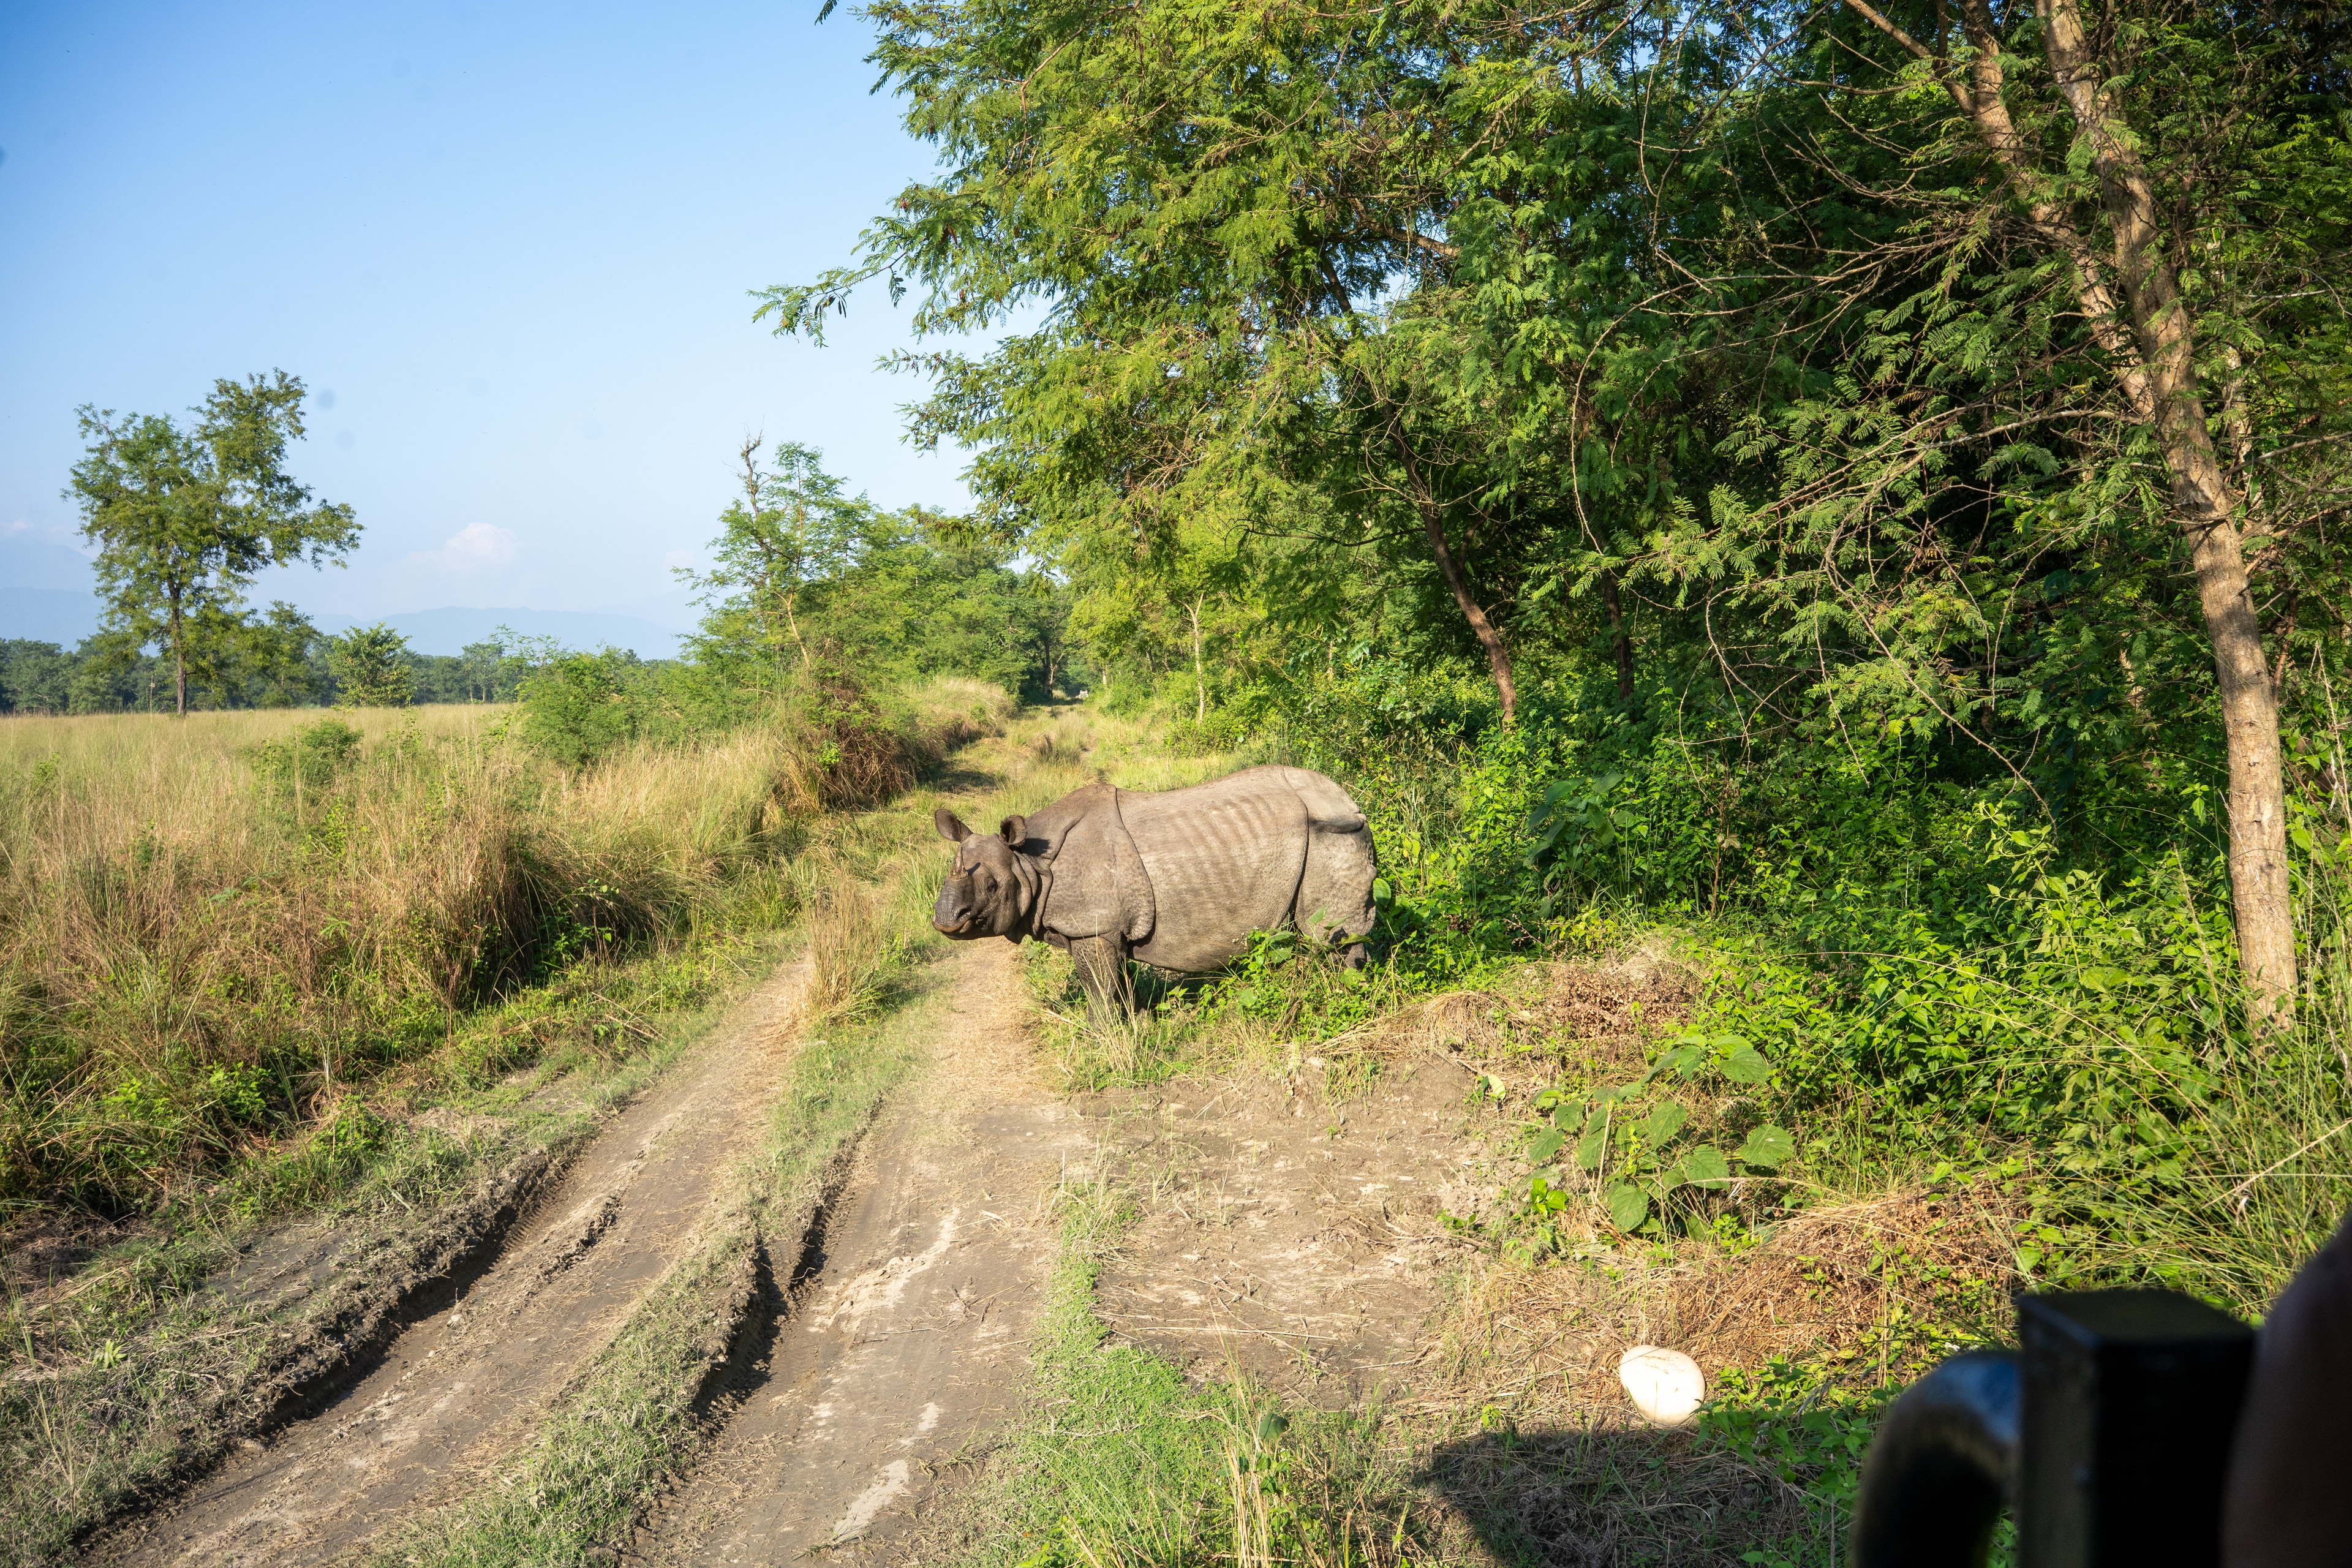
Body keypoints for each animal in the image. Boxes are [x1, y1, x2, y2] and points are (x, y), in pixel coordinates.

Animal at [931, 764, 1379, 1012]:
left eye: (993, 886)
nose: (944, 921)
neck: (1030, 863)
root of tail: (1349, 800)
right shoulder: (1107, 930)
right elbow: (1119, 987)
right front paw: (1137, 1025)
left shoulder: (1093, 927)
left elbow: (1098, 992)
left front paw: (1102, 1042)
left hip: (1333, 833)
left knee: (1330, 935)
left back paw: (1349, 997)